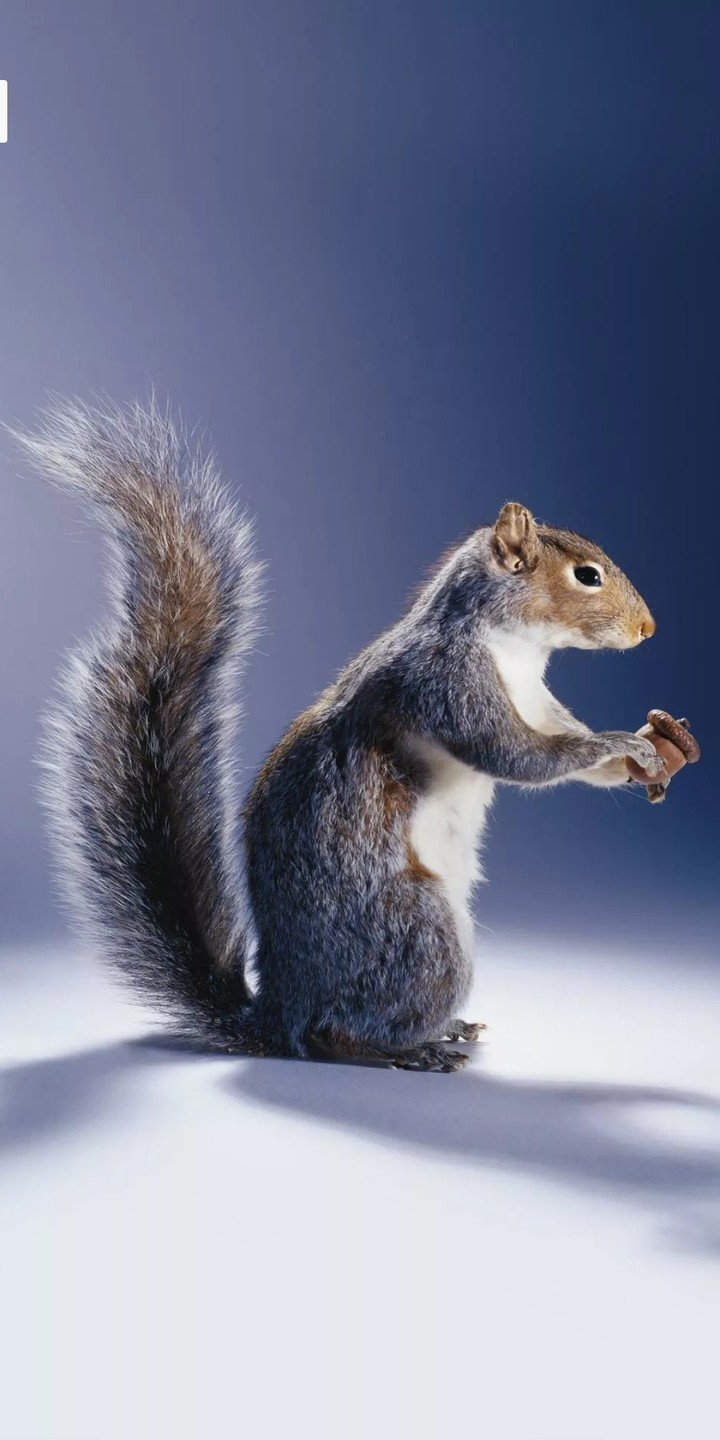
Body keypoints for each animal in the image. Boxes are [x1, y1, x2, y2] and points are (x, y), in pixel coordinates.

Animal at [15, 398, 684, 1073]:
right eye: (587, 576)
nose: (649, 628)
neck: (513, 648)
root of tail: (279, 1008)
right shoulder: (444, 683)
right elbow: (516, 755)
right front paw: (620, 743)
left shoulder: (535, 701)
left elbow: (553, 744)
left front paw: (649, 754)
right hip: (416, 933)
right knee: (332, 1033)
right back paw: (410, 1050)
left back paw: (447, 1029)